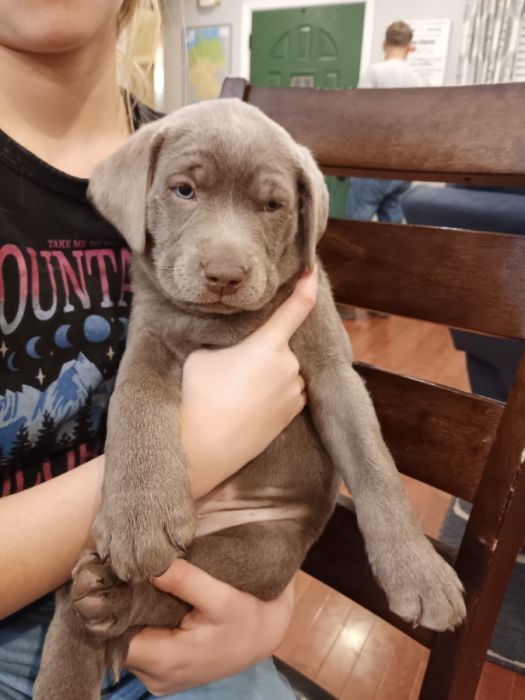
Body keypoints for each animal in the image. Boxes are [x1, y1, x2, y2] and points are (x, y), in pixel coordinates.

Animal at [34, 100, 464, 700]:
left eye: (273, 205)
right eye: (184, 190)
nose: (225, 275)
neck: (222, 326)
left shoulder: (331, 369)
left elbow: (376, 466)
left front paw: (420, 572)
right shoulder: (148, 340)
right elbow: (134, 404)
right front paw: (140, 512)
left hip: (262, 550)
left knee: (175, 593)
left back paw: (113, 597)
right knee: (80, 621)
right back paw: (95, 606)